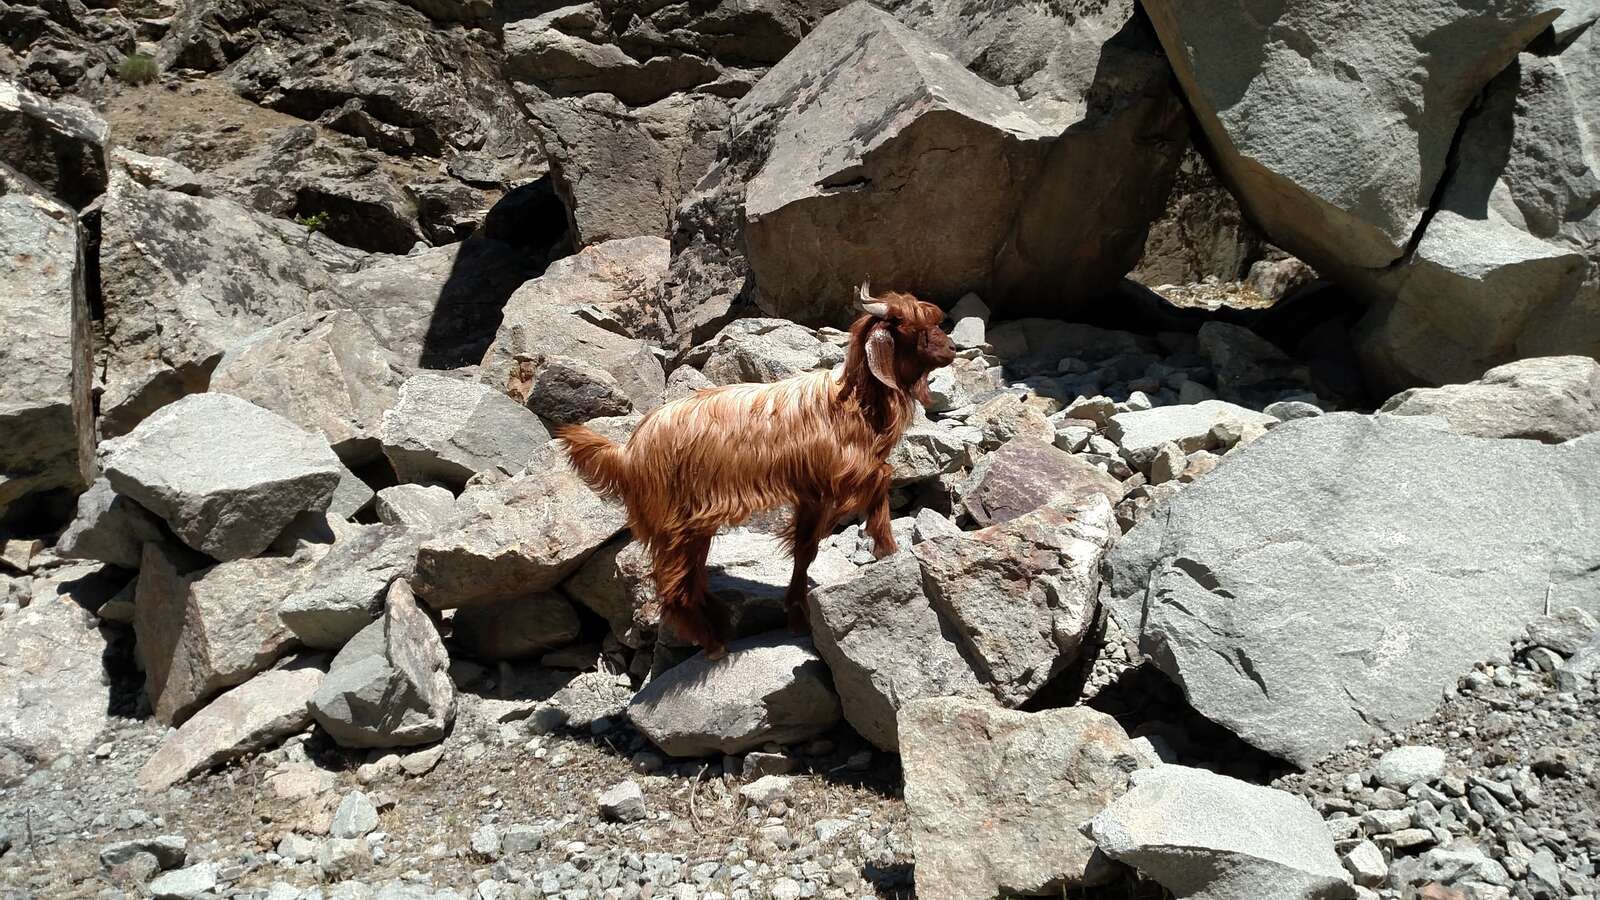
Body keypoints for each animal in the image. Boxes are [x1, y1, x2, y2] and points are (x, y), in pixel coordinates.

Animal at [557, 282, 956, 658]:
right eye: (913, 327)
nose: (952, 349)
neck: (851, 404)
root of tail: (629, 451)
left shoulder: (811, 493)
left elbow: (805, 549)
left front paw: (797, 615)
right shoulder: (840, 473)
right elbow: (881, 479)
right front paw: (887, 547)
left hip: (694, 525)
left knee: (690, 580)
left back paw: (720, 624)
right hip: (673, 525)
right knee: (673, 589)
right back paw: (714, 644)